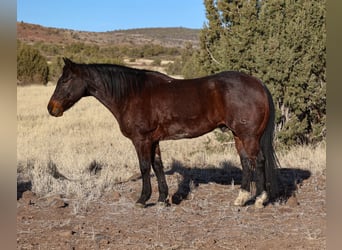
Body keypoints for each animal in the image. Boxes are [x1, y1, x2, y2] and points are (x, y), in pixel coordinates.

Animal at [48, 57, 280, 208]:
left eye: (65, 80)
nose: (51, 108)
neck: (132, 94)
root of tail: (257, 83)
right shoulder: (154, 141)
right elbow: (157, 165)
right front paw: (162, 199)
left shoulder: (141, 140)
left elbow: (144, 167)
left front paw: (143, 199)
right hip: (238, 135)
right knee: (246, 162)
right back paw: (241, 198)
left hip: (248, 136)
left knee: (258, 161)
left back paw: (260, 199)